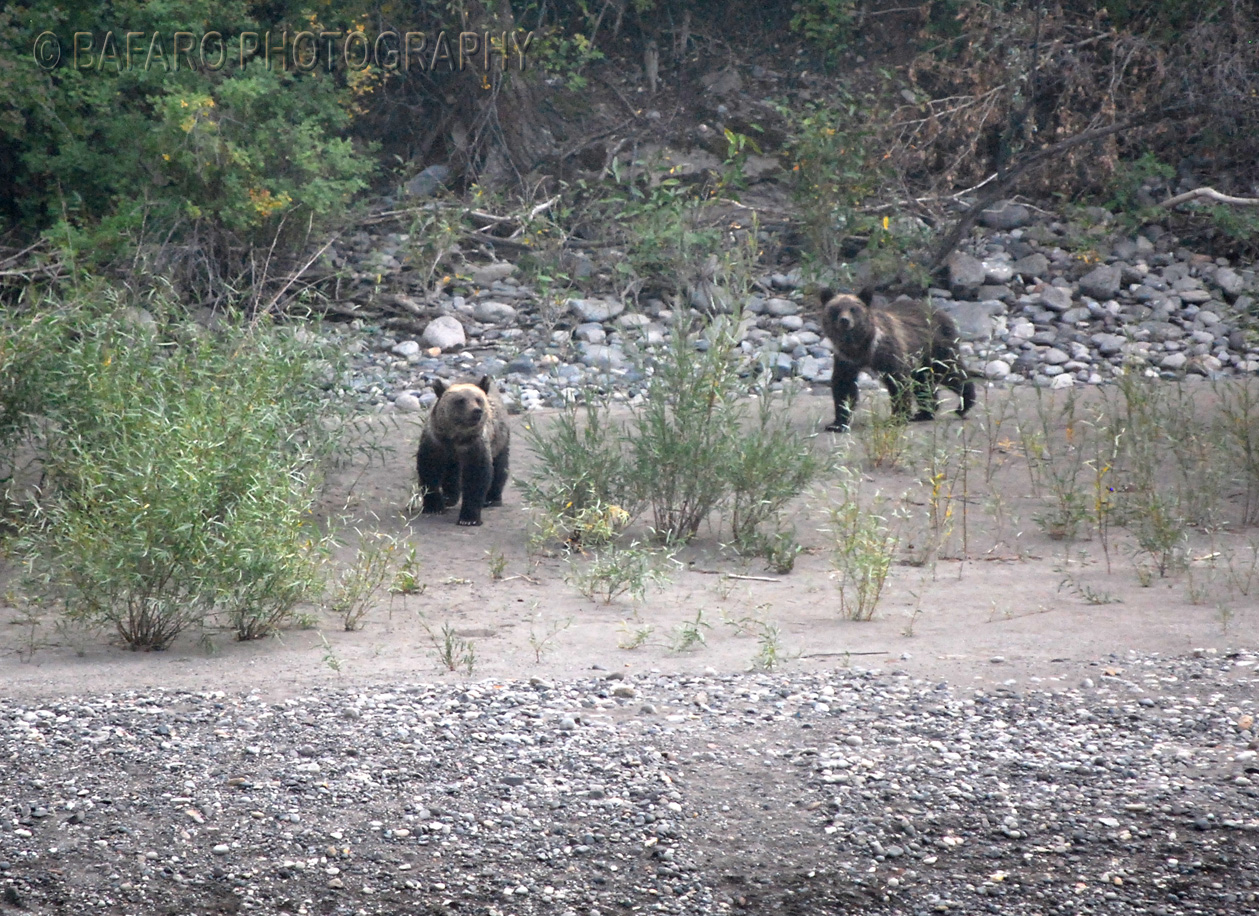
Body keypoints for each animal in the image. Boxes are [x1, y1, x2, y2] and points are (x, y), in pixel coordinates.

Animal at [416, 375, 510, 526]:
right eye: (460, 400)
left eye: (478, 399)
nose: (476, 411)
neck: (456, 437)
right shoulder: (435, 442)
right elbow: (429, 470)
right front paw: (434, 506)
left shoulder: (475, 445)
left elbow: (476, 476)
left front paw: (469, 518)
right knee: (452, 472)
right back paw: (449, 497)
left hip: (500, 439)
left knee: (500, 467)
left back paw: (492, 498)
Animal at [818, 288, 975, 433]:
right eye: (836, 309)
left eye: (853, 309)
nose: (844, 321)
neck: (861, 346)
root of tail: (940, 310)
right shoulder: (845, 359)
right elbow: (844, 385)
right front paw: (837, 424)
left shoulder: (888, 352)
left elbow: (897, 381)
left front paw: (897, 417)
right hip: (920, 359)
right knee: (923, 381)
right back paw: (924, 412)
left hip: (937, 346)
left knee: (951, 371)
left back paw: (963, 405)